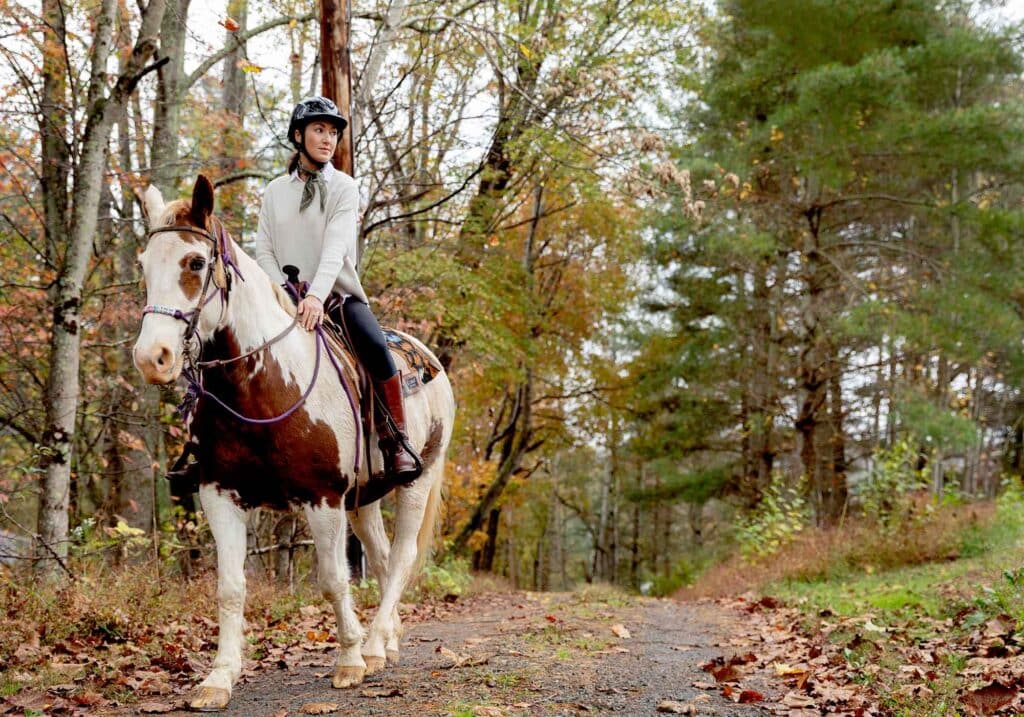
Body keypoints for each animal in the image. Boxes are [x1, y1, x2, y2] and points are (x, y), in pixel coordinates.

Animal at [134, 176, 454, 708]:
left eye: (195, 262)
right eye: (143, 263)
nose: (151, 358)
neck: (263, 388)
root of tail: (429, 359)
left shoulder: (322, 498)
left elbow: (332, 578)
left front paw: (348, 660)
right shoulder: (220, 496)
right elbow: (230, 587)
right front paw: (218, 678)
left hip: (418, 480)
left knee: (402, 558)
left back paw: (371, 646)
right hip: (364, 498)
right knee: (382, 556)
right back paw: (384, 643)